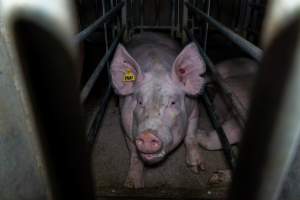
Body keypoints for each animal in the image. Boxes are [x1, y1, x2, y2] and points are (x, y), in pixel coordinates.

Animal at [110, 32, 206, 188]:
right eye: (140, 102)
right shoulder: (125, 123)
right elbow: (135, 154)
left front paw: (198, 168)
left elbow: (191, 136)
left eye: (172, 102)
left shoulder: (194, 109)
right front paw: (132, 185)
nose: (148, 135)